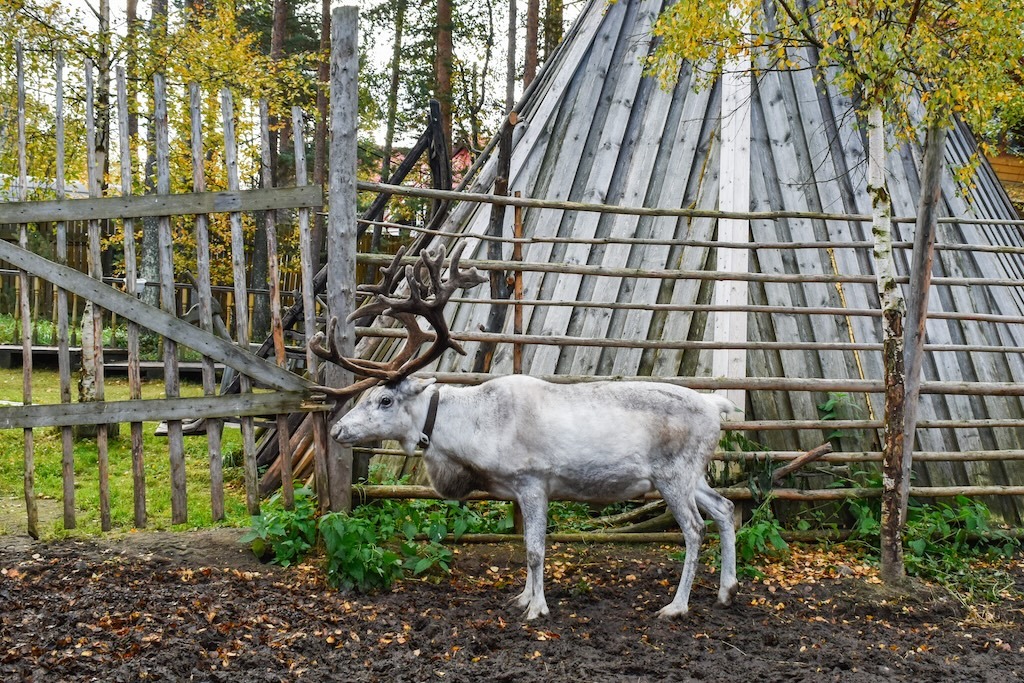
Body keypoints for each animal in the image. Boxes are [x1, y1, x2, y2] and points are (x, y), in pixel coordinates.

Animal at [310, 243, 739, 621]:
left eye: (384, 399)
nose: (338, 429)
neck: (469, 434)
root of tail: (716, 406)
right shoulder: (518, 490)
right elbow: (525, 548)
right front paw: (522, 598)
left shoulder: (533, 481)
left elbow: (535, 551)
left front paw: (537, 609)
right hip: (694, 474)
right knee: (726, 508)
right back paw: (726, 590)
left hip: (673, 475)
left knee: (695, 529)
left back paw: (676, 606)